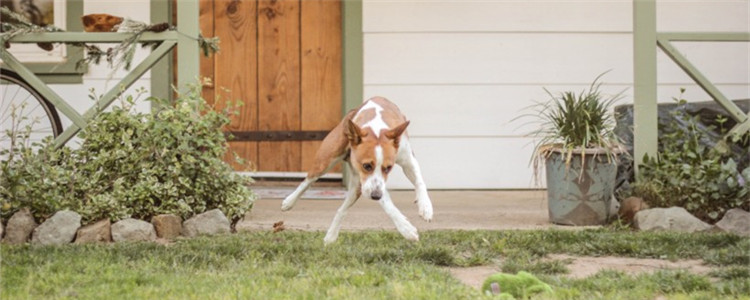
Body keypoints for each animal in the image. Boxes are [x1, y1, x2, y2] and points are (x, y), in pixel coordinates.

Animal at [282, 96, 434, 244]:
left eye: (388, 168)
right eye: (367, 166)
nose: (375, 196)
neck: (376, 130)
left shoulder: (408, 161)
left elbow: (420, 182)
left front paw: (425, 206)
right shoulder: (367, 182)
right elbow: (387, 204)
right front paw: (406, 229)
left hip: (356, 188)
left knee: (342, 209)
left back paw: (331, 236)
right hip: (325, 161)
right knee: (308, 180)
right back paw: (289, 201)